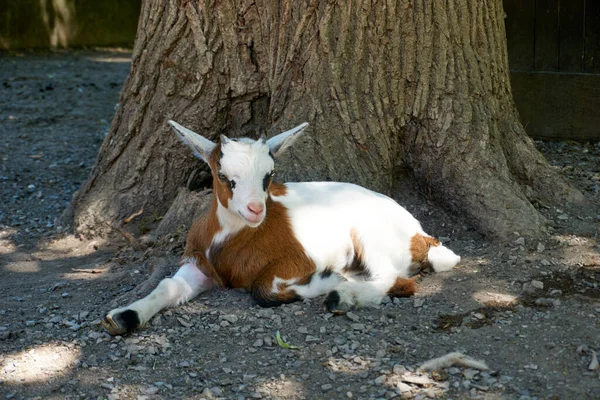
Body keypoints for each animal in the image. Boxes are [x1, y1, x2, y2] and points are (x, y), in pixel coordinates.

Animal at [102, 121, 460, 334]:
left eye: (269, 175)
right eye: (223, 175)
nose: (255, 208)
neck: (233, 238)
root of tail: (420, 234)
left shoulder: (297, 262)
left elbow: (263, 290)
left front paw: (331, 279)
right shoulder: (200, 265)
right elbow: (168, 287)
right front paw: (122, 317)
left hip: (371, 238)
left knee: (397, 280)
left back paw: (342, 296)